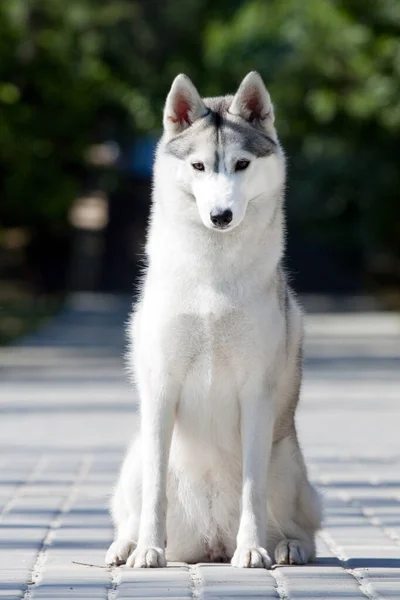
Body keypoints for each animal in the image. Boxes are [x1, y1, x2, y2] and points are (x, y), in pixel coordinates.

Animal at [105, 72, 322, 568]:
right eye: (199, 166)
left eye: (241, 164)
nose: (220, 216)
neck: (212, 280)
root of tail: (211, 542)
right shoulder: (161, 388)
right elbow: (155, 492)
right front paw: (148, 550)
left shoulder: (256, 392)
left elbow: (251, 490)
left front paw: (253, 549)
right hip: (134, 457)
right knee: (132, 509)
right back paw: (126, 545)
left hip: (287, 463)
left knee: (303, 525)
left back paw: (287, 546)